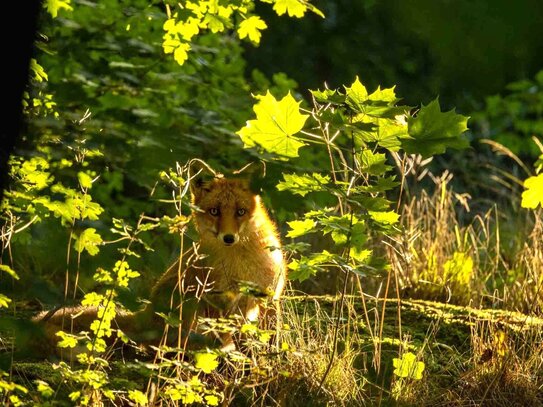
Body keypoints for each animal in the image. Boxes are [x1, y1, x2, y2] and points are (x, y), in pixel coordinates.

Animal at [31, 171, 286, 354]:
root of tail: (144, 314)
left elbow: (270, 334)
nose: (229, 237)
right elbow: (226, 334)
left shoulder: (268, 296)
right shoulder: (218, 297)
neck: (242, 265)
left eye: (241, 211)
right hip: (188, 297)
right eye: (214, 211)